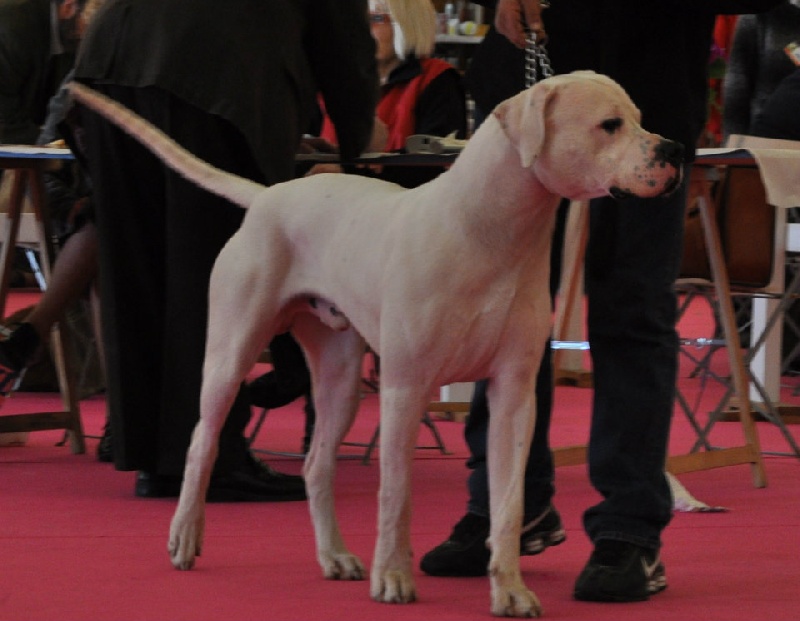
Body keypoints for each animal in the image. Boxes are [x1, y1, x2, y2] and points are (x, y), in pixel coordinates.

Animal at [70, 71, 680, 616]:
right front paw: (393, 577)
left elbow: (508, 503)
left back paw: (335, 557)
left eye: (641, 119)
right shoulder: (405, 388)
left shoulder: (514, 396)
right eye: (609, 125)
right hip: (230, 354)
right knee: (202, 442)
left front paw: (509, 590)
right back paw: (185, 535)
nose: (674, 149)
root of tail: (269, 197)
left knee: (317, 466)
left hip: (340, 379)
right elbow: (396, 493)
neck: (493, 232)